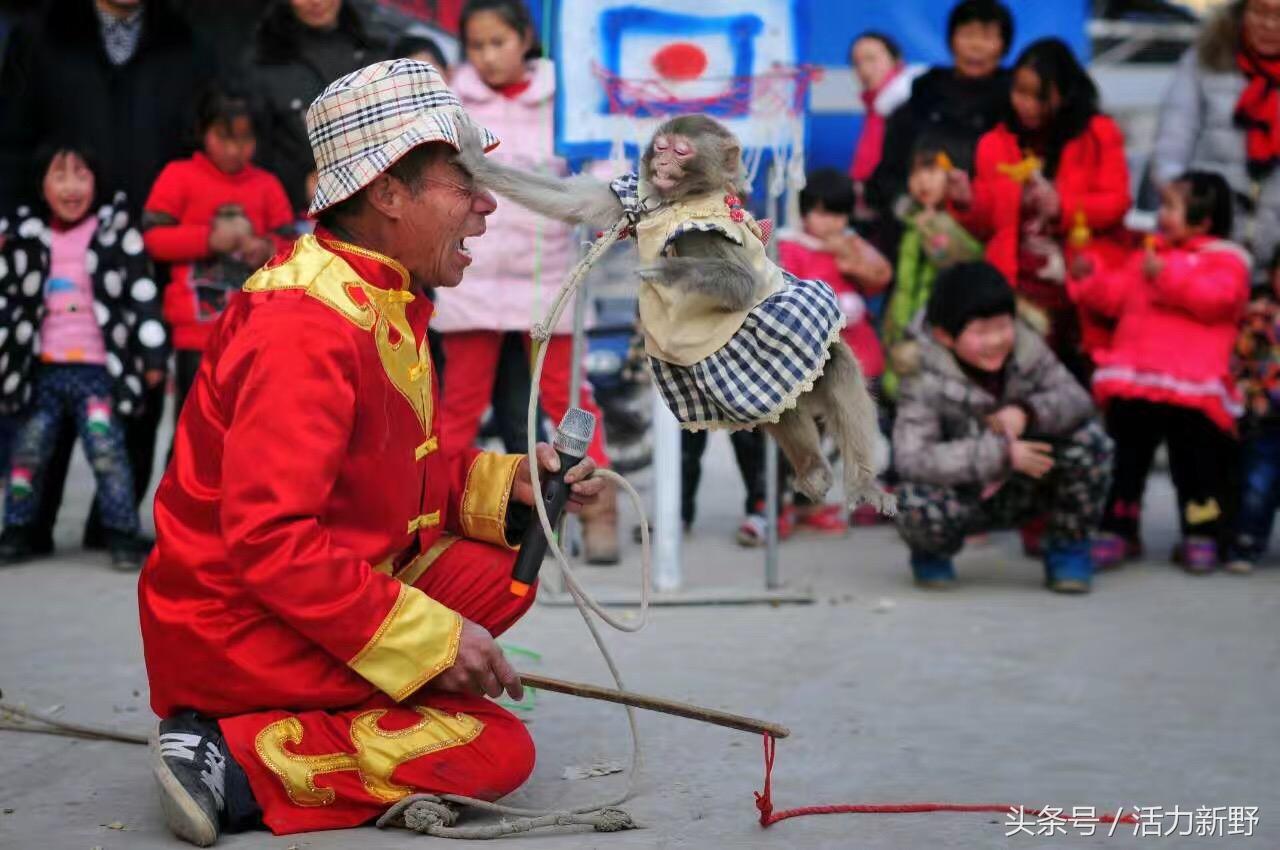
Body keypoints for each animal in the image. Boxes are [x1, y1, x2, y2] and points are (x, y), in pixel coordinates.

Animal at [455, 115, 896, 514]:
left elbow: (743, 283)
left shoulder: (707, 232)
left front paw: (672, 272)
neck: (680, 201)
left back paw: (862, 483)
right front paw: (477, 163)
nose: (663, 163)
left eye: (681, 152)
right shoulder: (635, 197)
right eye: (663, 147)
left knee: (832, 365)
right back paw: (814, 469)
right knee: (777, 403)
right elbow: (572, 202)